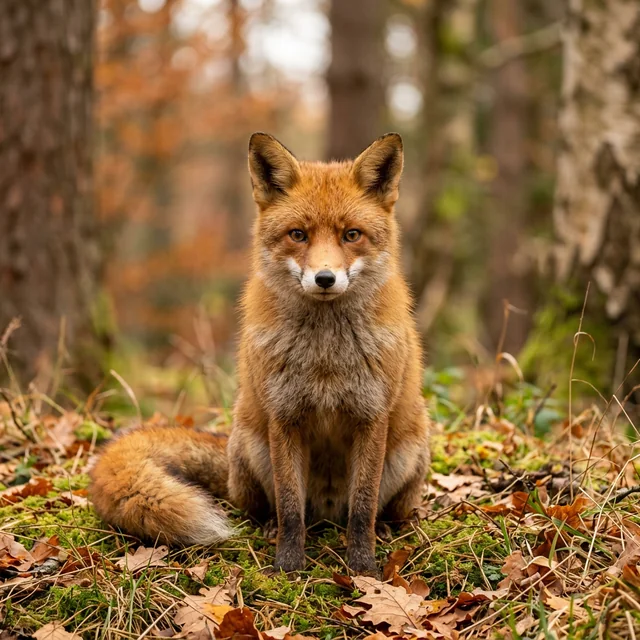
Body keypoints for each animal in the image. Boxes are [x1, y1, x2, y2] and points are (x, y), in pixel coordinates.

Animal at [89, 132, 431, 575]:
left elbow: (362, 508)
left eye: (351, 235)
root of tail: (326, 513)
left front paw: (363, 567)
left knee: (377, 510)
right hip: (253, 445)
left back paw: (387, 528)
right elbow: (289, 507)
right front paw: (288, 567)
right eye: (298, 235)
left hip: (408, 450)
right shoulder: (283, 416)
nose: (324, 278)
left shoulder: (371, 417)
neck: (325, 357)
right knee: (267, 508)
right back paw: (267, 525)